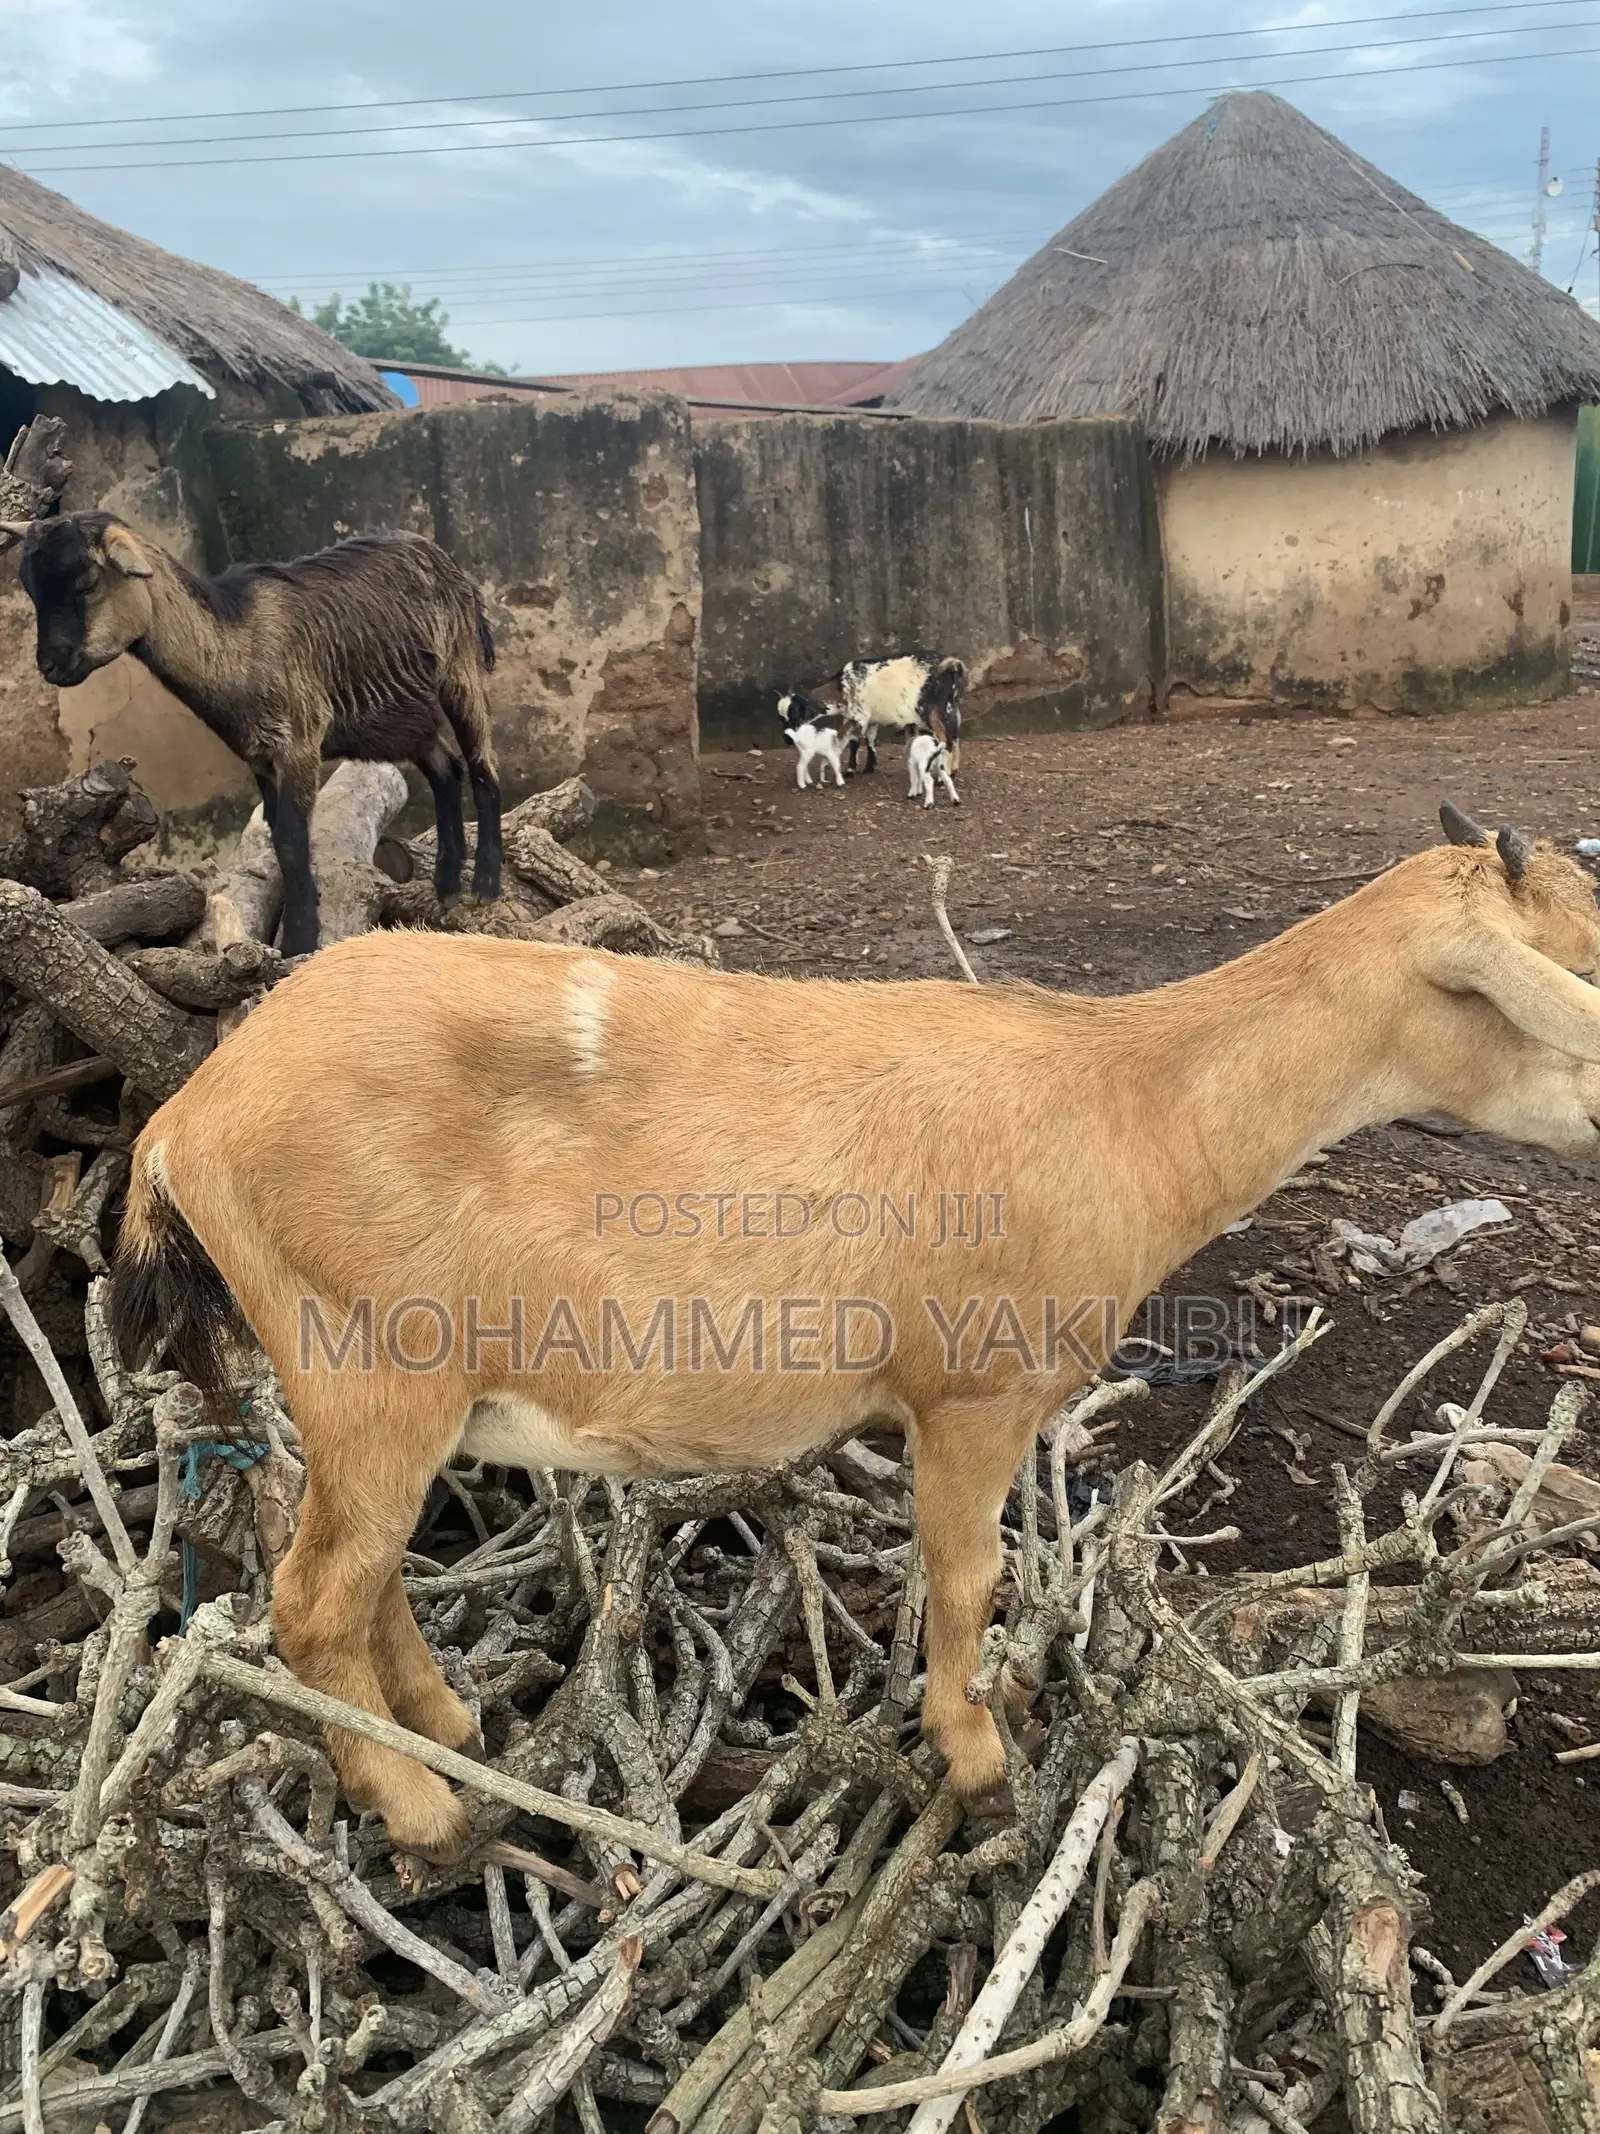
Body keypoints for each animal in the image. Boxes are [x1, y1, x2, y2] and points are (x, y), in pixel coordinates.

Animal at [0, 512, 502, 958]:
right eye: (31, 589)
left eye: (87, 583)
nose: (50, 666)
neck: (236, 643)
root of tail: (436, 552)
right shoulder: (258, 756)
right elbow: (277, 838)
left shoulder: (299, 743)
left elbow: (293, 840)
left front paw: (301, 940)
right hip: (402, 716)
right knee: (445, 767)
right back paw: (446, 884)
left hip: (460, 669)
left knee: (483, 767)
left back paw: (485, 885)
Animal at [106, 803, 1600, 1858]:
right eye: (1576, 964)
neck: (1125, 1102)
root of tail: (183, 1122)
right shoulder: (973, 1391)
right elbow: (966, 1573)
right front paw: (980, 1758)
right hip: (369, 1357)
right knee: (309, 1599)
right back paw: (425, 1814)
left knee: (363, 1581)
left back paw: (452, 1724)